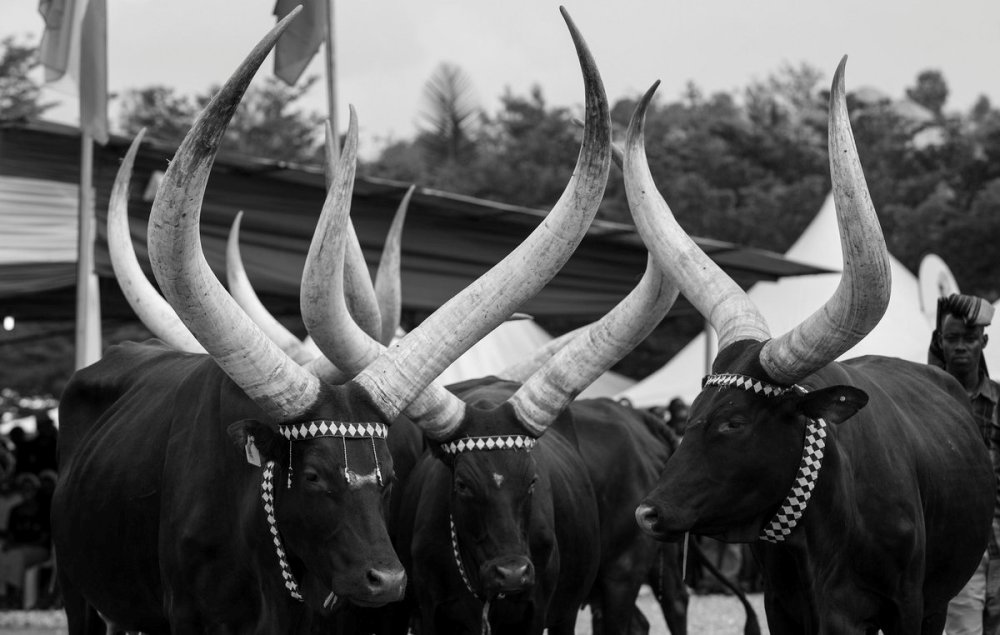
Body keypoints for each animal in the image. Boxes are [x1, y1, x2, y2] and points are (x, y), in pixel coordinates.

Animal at [623, 57, 995, 633]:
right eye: (693, 413)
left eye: (734, 422)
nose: (648, 512)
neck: (824, 522)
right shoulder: (784, 607)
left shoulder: (906, 606)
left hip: (939, 599)